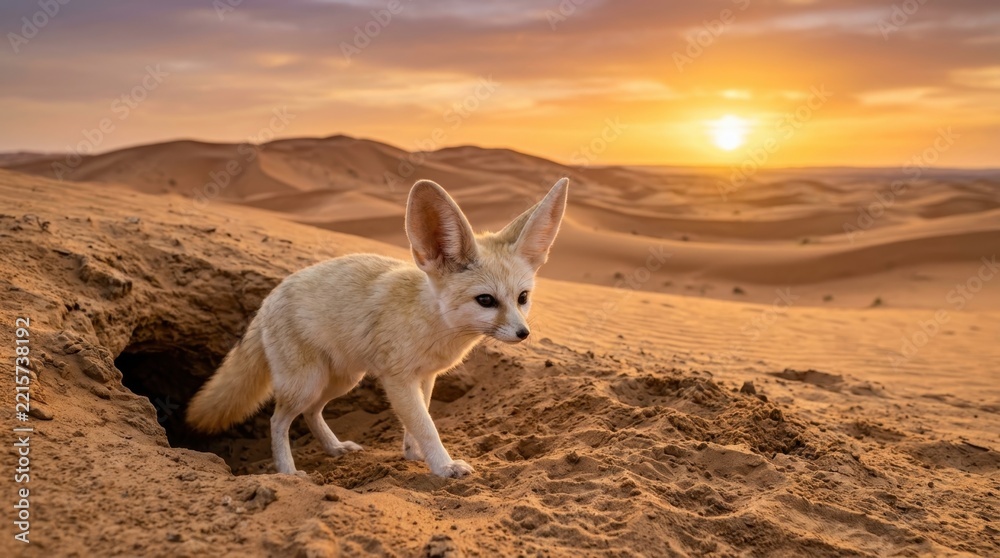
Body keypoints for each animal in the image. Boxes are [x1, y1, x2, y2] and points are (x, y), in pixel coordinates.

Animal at [186, 177, 569, 478]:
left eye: (522, 298)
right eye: (486, 300)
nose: (523, 334)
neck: (432, 322)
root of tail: (268, 298)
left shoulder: (425, 377)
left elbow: (419, 420)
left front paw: (414, 454)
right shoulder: (398, 379)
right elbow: (425, 424)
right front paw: (443, 466)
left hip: (341, 380)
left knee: (311, 413)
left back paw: (334, 448)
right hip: (307, 383)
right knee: (277, 421)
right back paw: (288, 472)